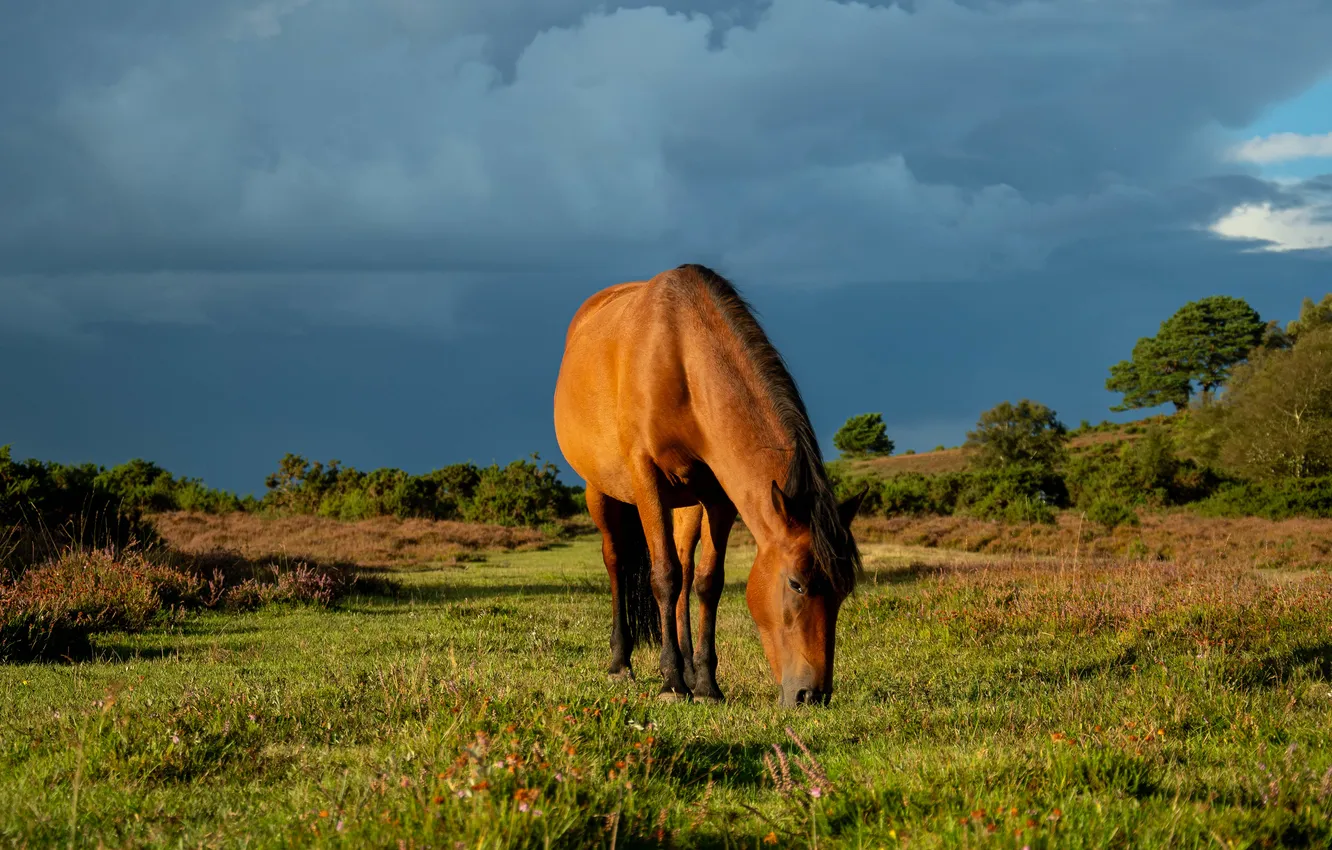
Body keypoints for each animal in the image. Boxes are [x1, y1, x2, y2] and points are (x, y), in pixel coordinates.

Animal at [553, 263, 865, 707]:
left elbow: (706, 582)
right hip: (601, 490)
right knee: (617, 562)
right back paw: (621, 663)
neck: (680, 355)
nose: (812, 694)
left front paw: (705, 685)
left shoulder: (718, 498)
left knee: (686, 570)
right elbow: (663, 576)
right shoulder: (647, 478)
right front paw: (671, 683)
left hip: (687, 504)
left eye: (843, 591)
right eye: (797, 584)